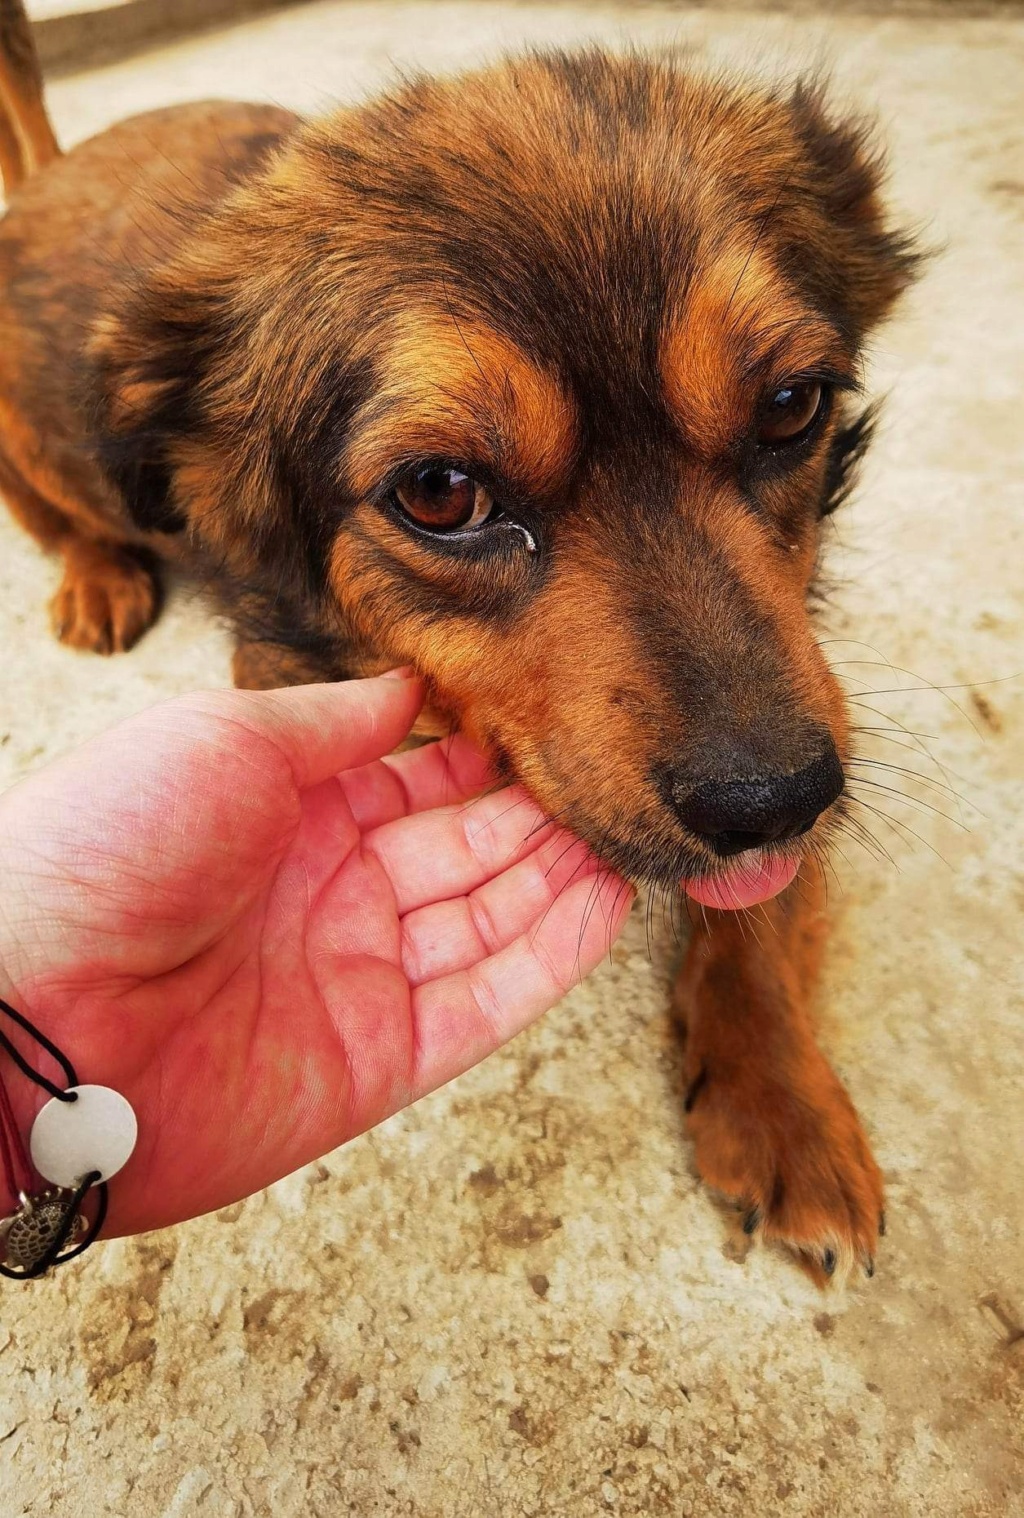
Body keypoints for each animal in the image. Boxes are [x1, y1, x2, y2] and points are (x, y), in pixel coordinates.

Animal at [0, 0, 916, 1281]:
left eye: (792, 405)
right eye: (440, 493)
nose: (774, 799)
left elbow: (762, 917)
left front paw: (783, 1102)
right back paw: (97, 577)